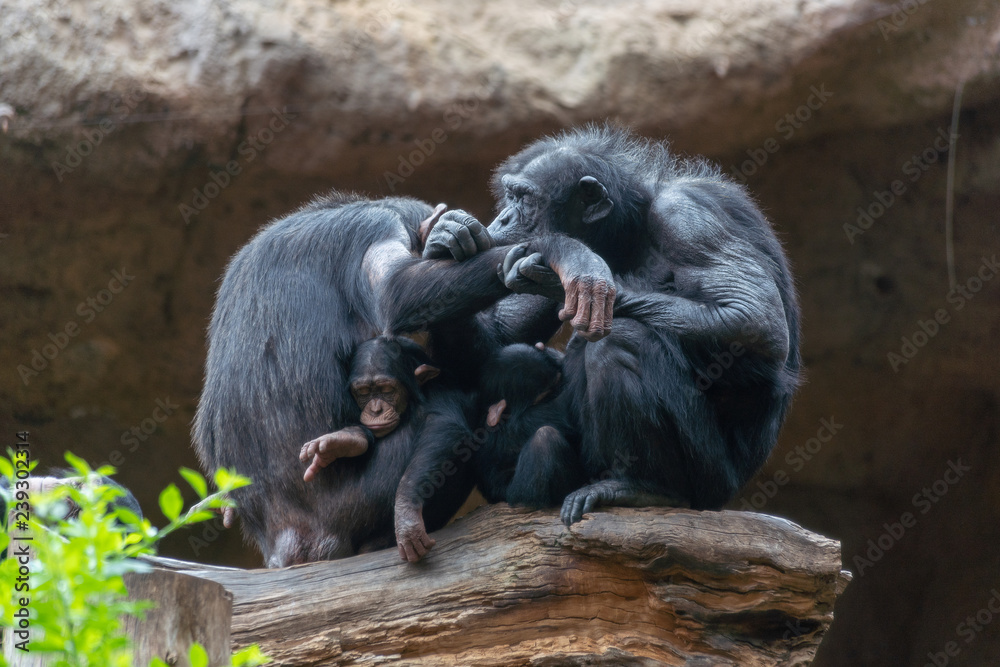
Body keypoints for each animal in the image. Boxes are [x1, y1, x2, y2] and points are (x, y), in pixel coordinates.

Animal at [472, 344, 584, 506]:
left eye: (558, 382)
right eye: (544, 396)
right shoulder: (524, 422)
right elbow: (567, 408)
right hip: (520, 497)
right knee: (545, 438)